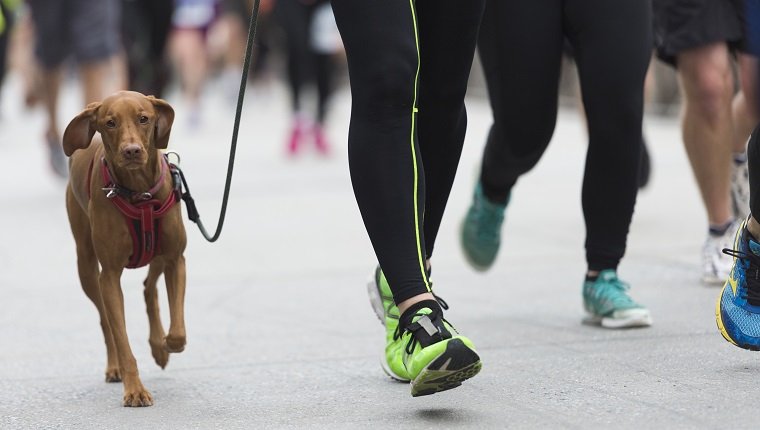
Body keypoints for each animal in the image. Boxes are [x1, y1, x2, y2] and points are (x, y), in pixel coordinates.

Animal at [62, 90, 187, 406]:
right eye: (110, 123)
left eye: (144, 118)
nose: (131, 151)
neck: (139, 194)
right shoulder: (108, 275)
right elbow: (120, 335)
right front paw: (135, 389)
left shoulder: (176, 259)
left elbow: (178, 330)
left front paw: (166, 344)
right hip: (86, 267)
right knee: (106, 321)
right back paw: (115, 366)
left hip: (157, 253)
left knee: (148, 288)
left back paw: (158, 346)